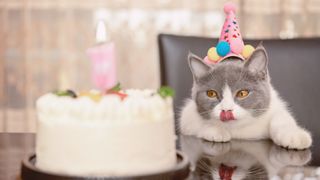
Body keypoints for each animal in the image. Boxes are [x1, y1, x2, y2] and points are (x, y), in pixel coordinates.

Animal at [180, 43, 312, 149]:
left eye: (242, 93)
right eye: (211, 93)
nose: (226, 110)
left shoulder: (274, 105)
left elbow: (281, 117)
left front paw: (294, 136)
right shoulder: (187, 115)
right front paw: (216, 131)